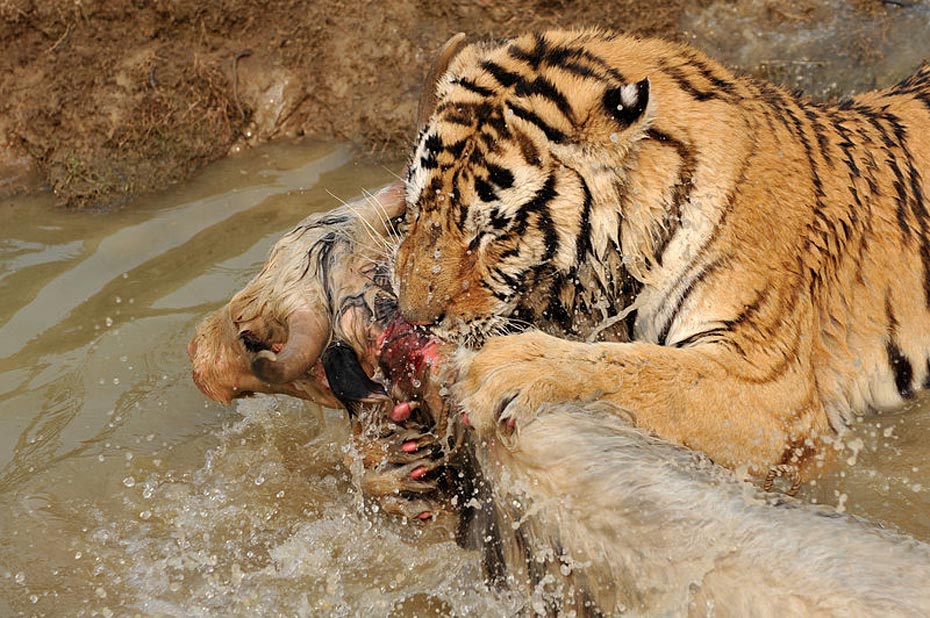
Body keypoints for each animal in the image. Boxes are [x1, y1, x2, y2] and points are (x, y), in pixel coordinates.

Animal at [395, 28, 930, 487]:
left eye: (493, 231)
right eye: (417, 208)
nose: (414, 319)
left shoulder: (773, 393)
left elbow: (642, 366)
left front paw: (510, 367)